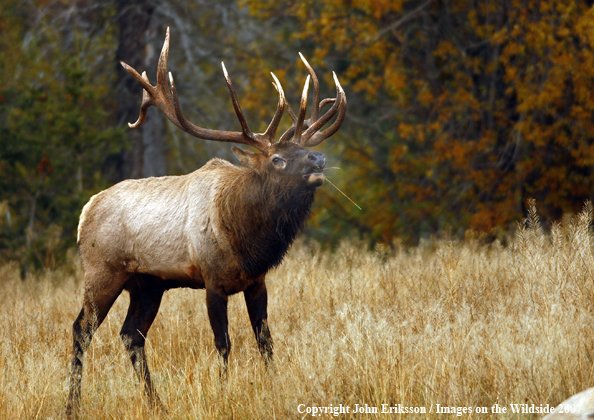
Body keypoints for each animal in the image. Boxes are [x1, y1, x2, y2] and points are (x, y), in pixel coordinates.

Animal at [66, 27, 344, 416]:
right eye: (277, 159)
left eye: (304, 150)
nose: (319, 159)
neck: (245, 239)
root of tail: (85, 211)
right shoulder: (213, 279)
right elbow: (223, 342)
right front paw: (224, 394)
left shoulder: (256, 281)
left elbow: (265, 340)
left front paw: (274, 387)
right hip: (102, 270)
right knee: (82, 330)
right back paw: (73, 406)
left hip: (148, 284)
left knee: (131, 335)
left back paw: (157, 404)